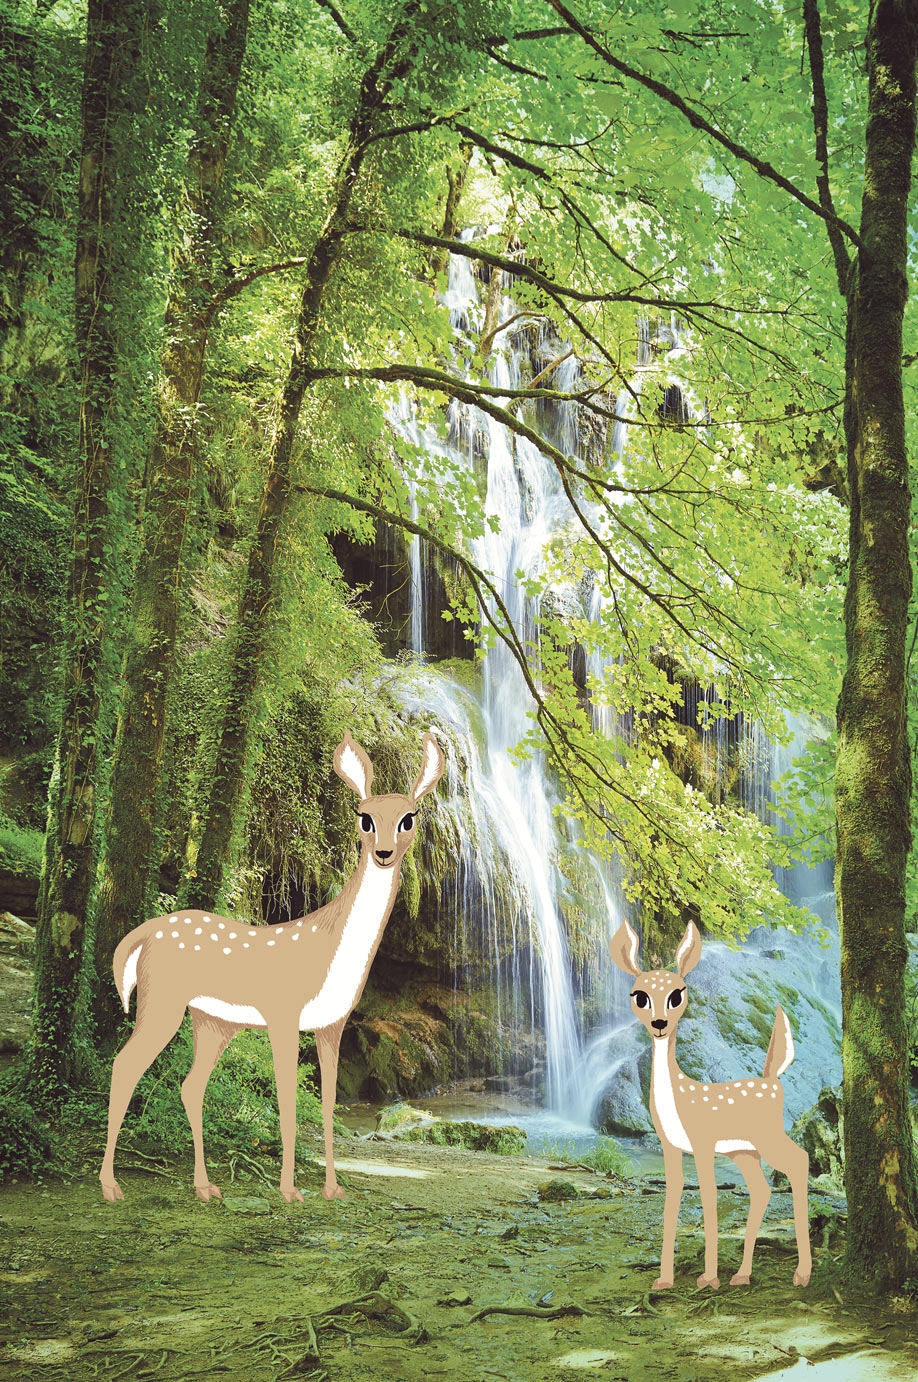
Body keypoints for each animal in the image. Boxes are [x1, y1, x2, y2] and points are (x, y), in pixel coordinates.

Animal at [100, 730, 445, 1206]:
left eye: (409, 819)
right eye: (364, 819)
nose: (384, 853)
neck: (330, 948)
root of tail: (139, 936)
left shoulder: (332, 1023)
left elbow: (327, 1103)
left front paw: (332, 1189)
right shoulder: (284, 1011)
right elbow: (287, 1103)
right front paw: (290, 1191)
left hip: (213, 1020)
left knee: (190, 1085)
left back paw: (205, 1186)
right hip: (163, 998)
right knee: (124, 1065)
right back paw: (111, 1185)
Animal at [609, 919, 810, 1291]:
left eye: (677, 994)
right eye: (639, 996)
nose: (659, 1024)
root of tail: (773, 1080)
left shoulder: (702, 1143)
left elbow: (708, 1197)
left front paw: (708, 1278)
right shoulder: (671, 1146)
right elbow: (672, 1199)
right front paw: (665, 1279)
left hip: (767, 1137)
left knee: (799, 1161)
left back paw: (801, 1273)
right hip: (745, 1151)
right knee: (761, 1189)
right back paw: (742, 1274)